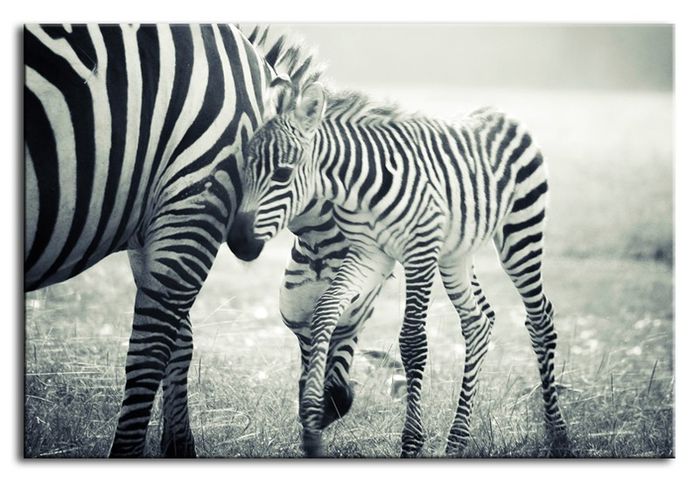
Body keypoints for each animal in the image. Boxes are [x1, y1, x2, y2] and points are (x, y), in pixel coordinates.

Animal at [24, 23, 323, 457]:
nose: (243, 243)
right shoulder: (195, 204)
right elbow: (151, 351)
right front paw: (129, 451)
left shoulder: (154, 230)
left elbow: (179, 341)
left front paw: (178, 445)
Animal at [229, 83, 570, 457]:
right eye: (242, 171)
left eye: (283, 173)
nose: (238, 243)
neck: (355, 187)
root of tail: (497, 112)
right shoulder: (368, 255)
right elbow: (325, 312)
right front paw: (313, 421)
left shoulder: (419, 253)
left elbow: (412, 342)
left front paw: (411, 442)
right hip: (455, 254)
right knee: (478, 321)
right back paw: (457, 439)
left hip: (521, 230)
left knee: (540, 319)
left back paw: (557, 434)